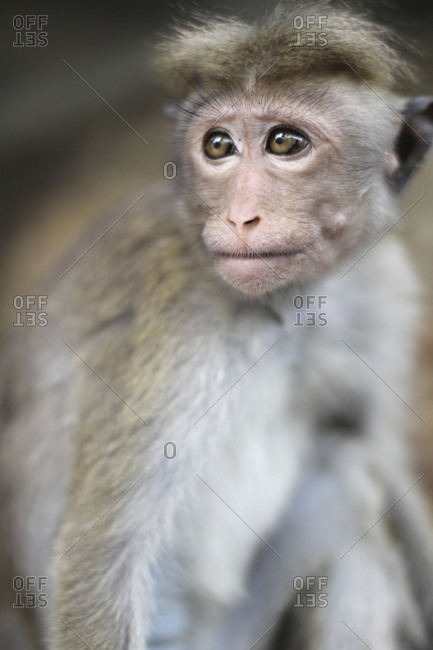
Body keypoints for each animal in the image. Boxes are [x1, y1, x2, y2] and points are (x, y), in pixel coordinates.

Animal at [1, 2, 433, 649]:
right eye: (218, 145)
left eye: (285, 142)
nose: (239, 216)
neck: (286, 310)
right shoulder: (175, 327)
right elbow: (103, 554)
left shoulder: (378, 290)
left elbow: (383, 454)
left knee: (350, 472)